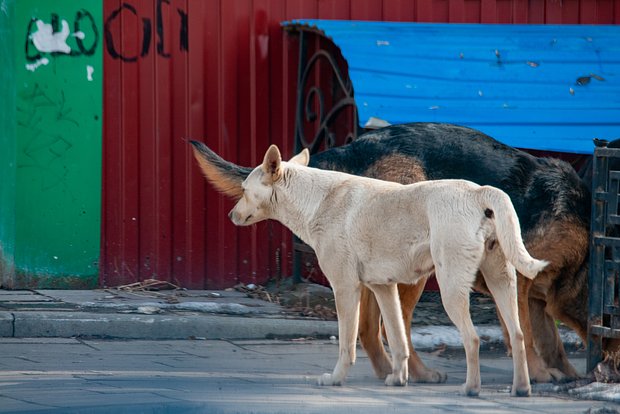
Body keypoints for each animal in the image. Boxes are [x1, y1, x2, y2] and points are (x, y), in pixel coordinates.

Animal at [219, 144, 548, 396]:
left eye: (244, 190)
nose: (230, 215)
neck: (315, 200)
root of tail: (479, 192)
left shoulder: (345, 289)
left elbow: (347, 345)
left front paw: (336, 379)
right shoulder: (384, 289)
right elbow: (398, 339)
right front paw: (398, 379)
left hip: (450, 289)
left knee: (473, 339)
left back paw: (471, 389)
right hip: (501, 283)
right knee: (518, 336)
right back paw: (521, 389)